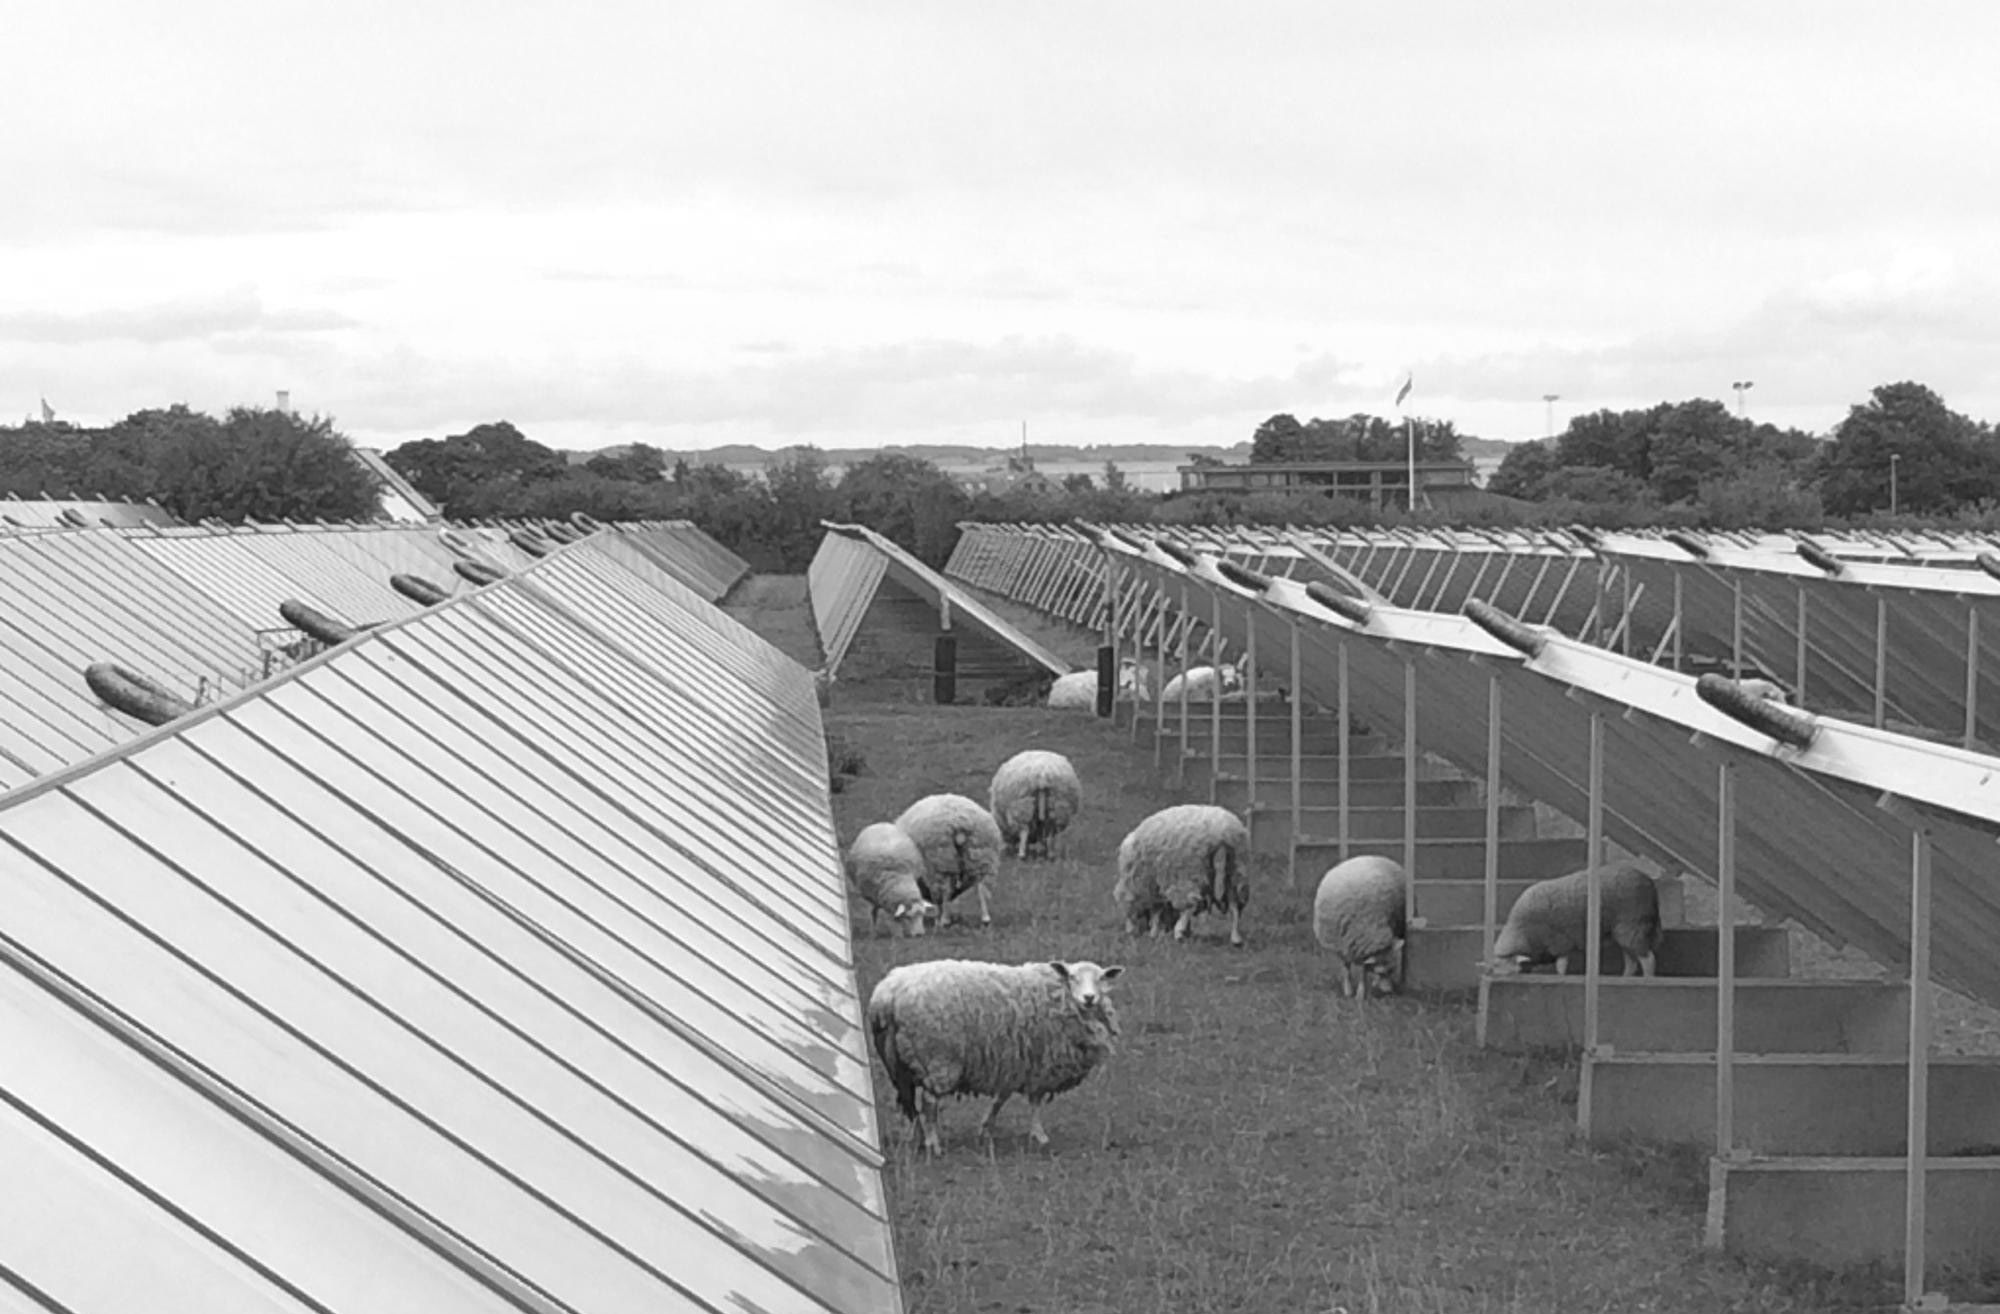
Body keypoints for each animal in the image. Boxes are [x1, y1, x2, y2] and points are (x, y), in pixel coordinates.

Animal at [867, 958, 1123, 1155]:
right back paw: (934, 1144)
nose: (1089, 998)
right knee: (929, 1102)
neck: (1059, 995)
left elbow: (1003, 1096)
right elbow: (1035, 1100)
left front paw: (986, 1128)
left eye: (1101, 978)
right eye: (1072, 977)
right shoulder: (1041, 1064)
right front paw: (1039, 1135)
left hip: (898, 1064)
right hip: (938, 1058)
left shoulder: (1015, 1061)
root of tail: (888, 994)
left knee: (909, 1104)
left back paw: (920, 1138)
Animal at [894, 793, 1004, 927]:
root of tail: (959, 822)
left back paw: (943, 920)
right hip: (980, 855)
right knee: (981, 888)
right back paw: (985, 919)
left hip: (941, 859)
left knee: (945, 889)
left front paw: (939, 918)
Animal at [1113, 803, 1250, 946]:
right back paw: (1236, 939)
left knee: (1189, 905)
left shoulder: (1147, 884)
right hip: (1236, 872)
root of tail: (1223, 833)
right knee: (1235, 906)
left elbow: (1153, 909)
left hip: (1187, 874)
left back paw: (1179, 932)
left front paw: (1152, 931)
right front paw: (1154, 932)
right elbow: (1157, 909)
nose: (1130, 933)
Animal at [1312, 855, 1409, 998]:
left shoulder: (1362, 948)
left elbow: (1364, 970)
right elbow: (1346, 967)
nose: (1389, 992)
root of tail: (1370, 856)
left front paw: (1360, 993)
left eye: (1392, 970)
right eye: (1380, 972)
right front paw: (1348, 990)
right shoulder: (1342, 946)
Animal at [1488, 859, 1662, 977]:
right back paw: (1625, 977)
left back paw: (1647, 978)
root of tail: (1649, 881)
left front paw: (1561, 977)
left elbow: (1561, 965)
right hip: (1623, 930)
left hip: (1633, 925)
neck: (1522, 929)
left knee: (1648, 958)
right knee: (1631, 959)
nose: (1488, 975)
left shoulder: (1560, 941)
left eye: (1498, 964)